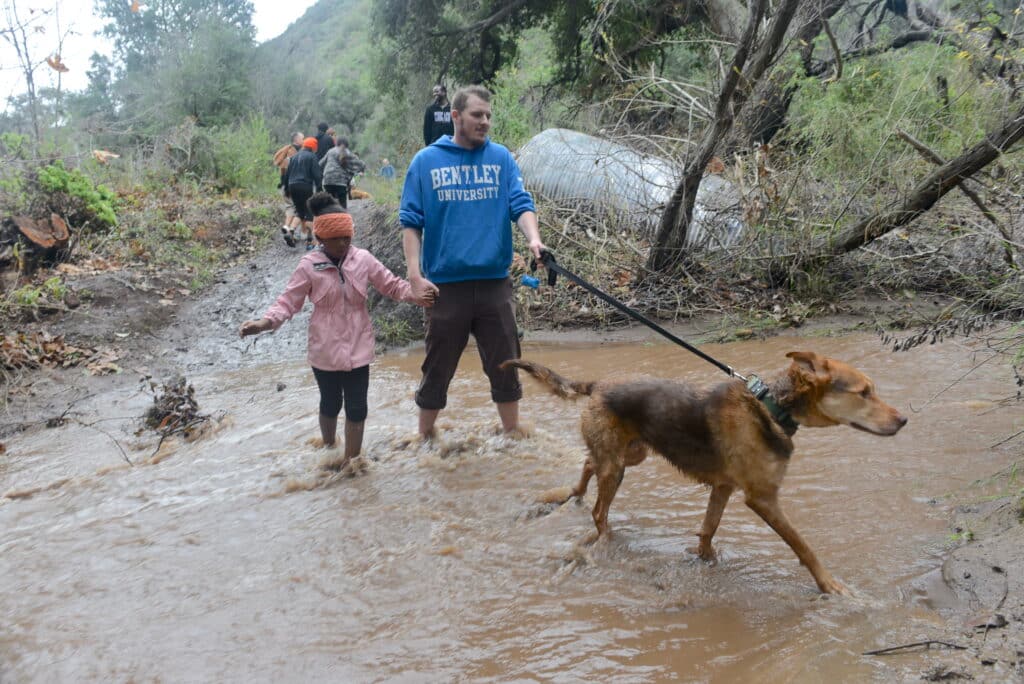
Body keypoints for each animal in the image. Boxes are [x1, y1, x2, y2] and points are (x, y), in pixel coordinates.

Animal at [499, 352, 909, 593]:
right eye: (864, 393)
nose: (904, 420)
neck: (771, 408)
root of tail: (598, 384)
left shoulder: (723, 487)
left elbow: (709, 529)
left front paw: (706, 561)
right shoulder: (763, 498)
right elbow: (803, 546)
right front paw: (829, 586)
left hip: (632, 454)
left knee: (588, 463)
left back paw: (573, 494)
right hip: (617, 467)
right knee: (600, 510)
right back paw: (605, 540)